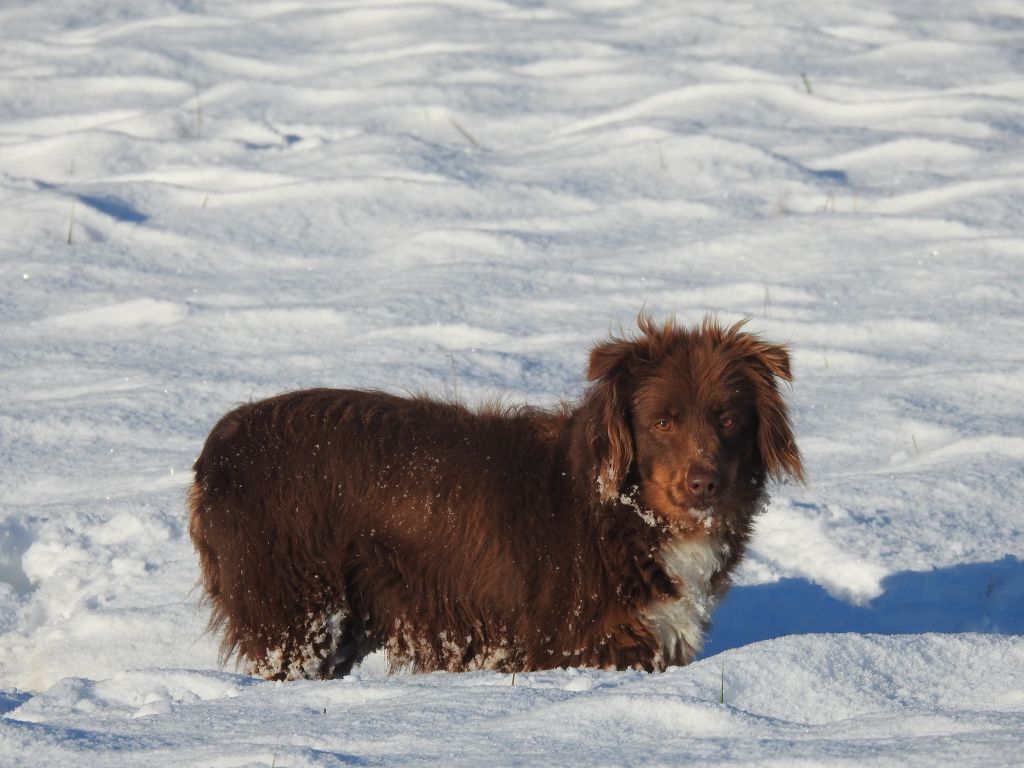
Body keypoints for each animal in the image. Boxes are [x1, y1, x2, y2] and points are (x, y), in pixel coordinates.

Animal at [188, 314, 803, 679]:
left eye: (728, 419)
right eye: (663, 421)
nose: (704, 484)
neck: (621, 515)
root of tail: (219, 445)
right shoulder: (578, 643)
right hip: (296, 605)